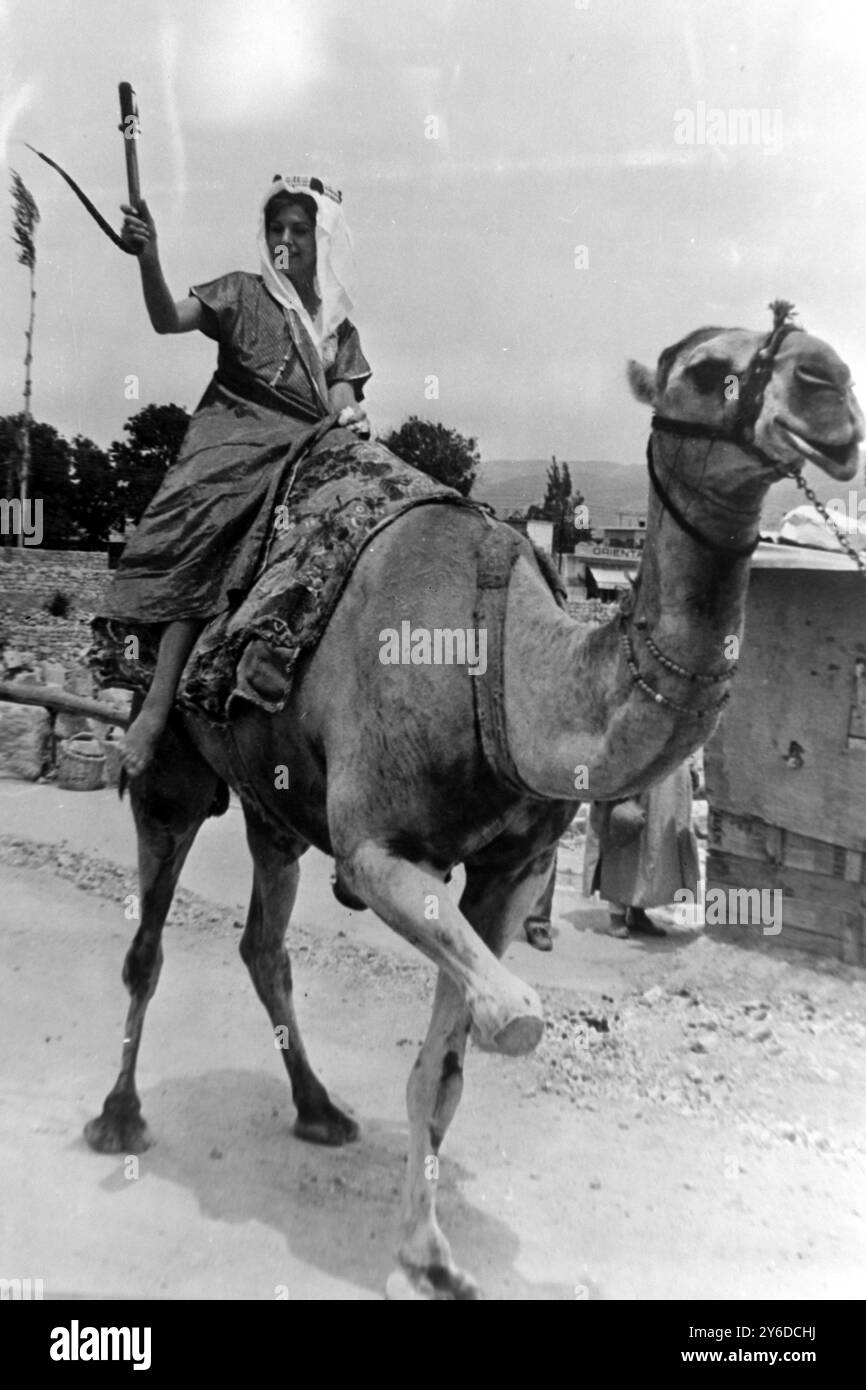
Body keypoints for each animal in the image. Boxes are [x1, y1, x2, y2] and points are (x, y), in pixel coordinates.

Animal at [79, 307, 861, 1301]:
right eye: (705, 367)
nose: (832, 387)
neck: (504, 668)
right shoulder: (376, 849)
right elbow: (514, 1019)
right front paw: (421, 1245)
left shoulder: (508, 872)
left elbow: (445, 1071)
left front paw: (427, 1256)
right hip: (174, 774)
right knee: (147, 944)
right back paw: (119, 1116)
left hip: (275, 808)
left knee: (264, 943)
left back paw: (320, 1109)